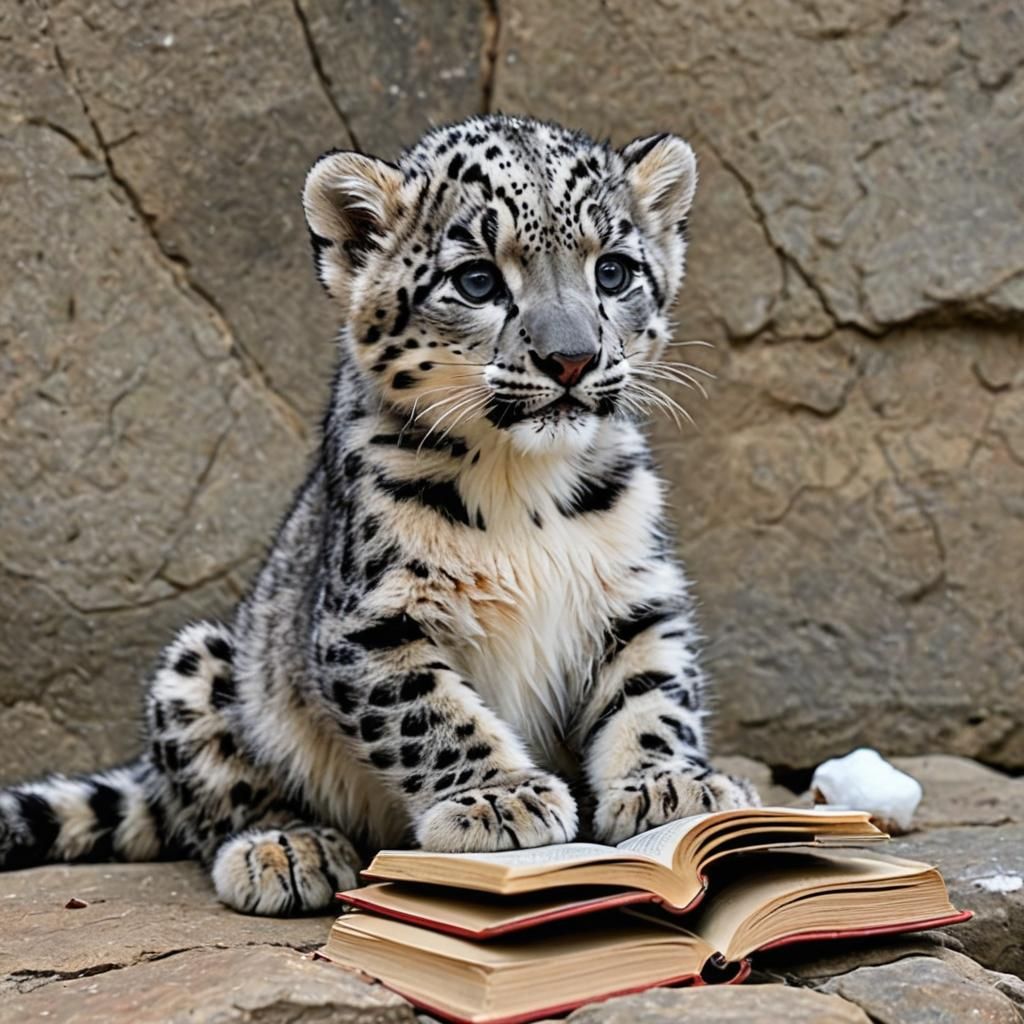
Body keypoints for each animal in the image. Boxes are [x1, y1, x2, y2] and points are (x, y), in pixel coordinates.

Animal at [0, 115, 759, 915]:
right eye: (477, 279)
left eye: (612, 271)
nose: (572, 358)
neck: (525, 482)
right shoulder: (373, 618)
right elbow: (428, 712)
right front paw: (501, 799)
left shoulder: (637, 596)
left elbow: (654, 692)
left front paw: (673, 784)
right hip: (199, 665)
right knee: (214, 798)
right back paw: (286, 849)